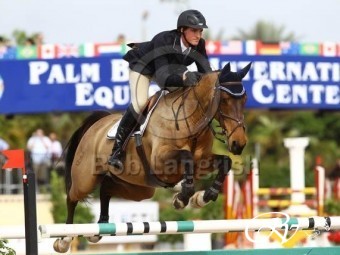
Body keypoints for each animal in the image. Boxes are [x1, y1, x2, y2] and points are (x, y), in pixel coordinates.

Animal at [52, 62, 250, 253]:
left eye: (245, 100)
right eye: (224, 100)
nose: (238, 144)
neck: (191, 120)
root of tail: (98, 124)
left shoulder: (201, 162)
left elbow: (225, 162)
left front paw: (203, 197)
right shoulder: (160, 161)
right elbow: (186, 157)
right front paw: (182, 198)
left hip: (140, 188)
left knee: (107, 187)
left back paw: (100, 228)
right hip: (86, 179)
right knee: (72, 197)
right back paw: (64, 239)